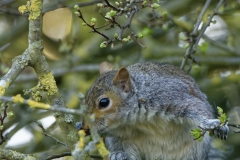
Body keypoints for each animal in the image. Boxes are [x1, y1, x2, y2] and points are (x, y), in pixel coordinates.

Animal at [85, 62, 229, 160]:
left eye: (104, 102)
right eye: (85, 97)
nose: (85, 127)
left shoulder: (170, 97)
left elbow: (197, 108)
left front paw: (212, 123)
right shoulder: (119, 136)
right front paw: (119, 154)